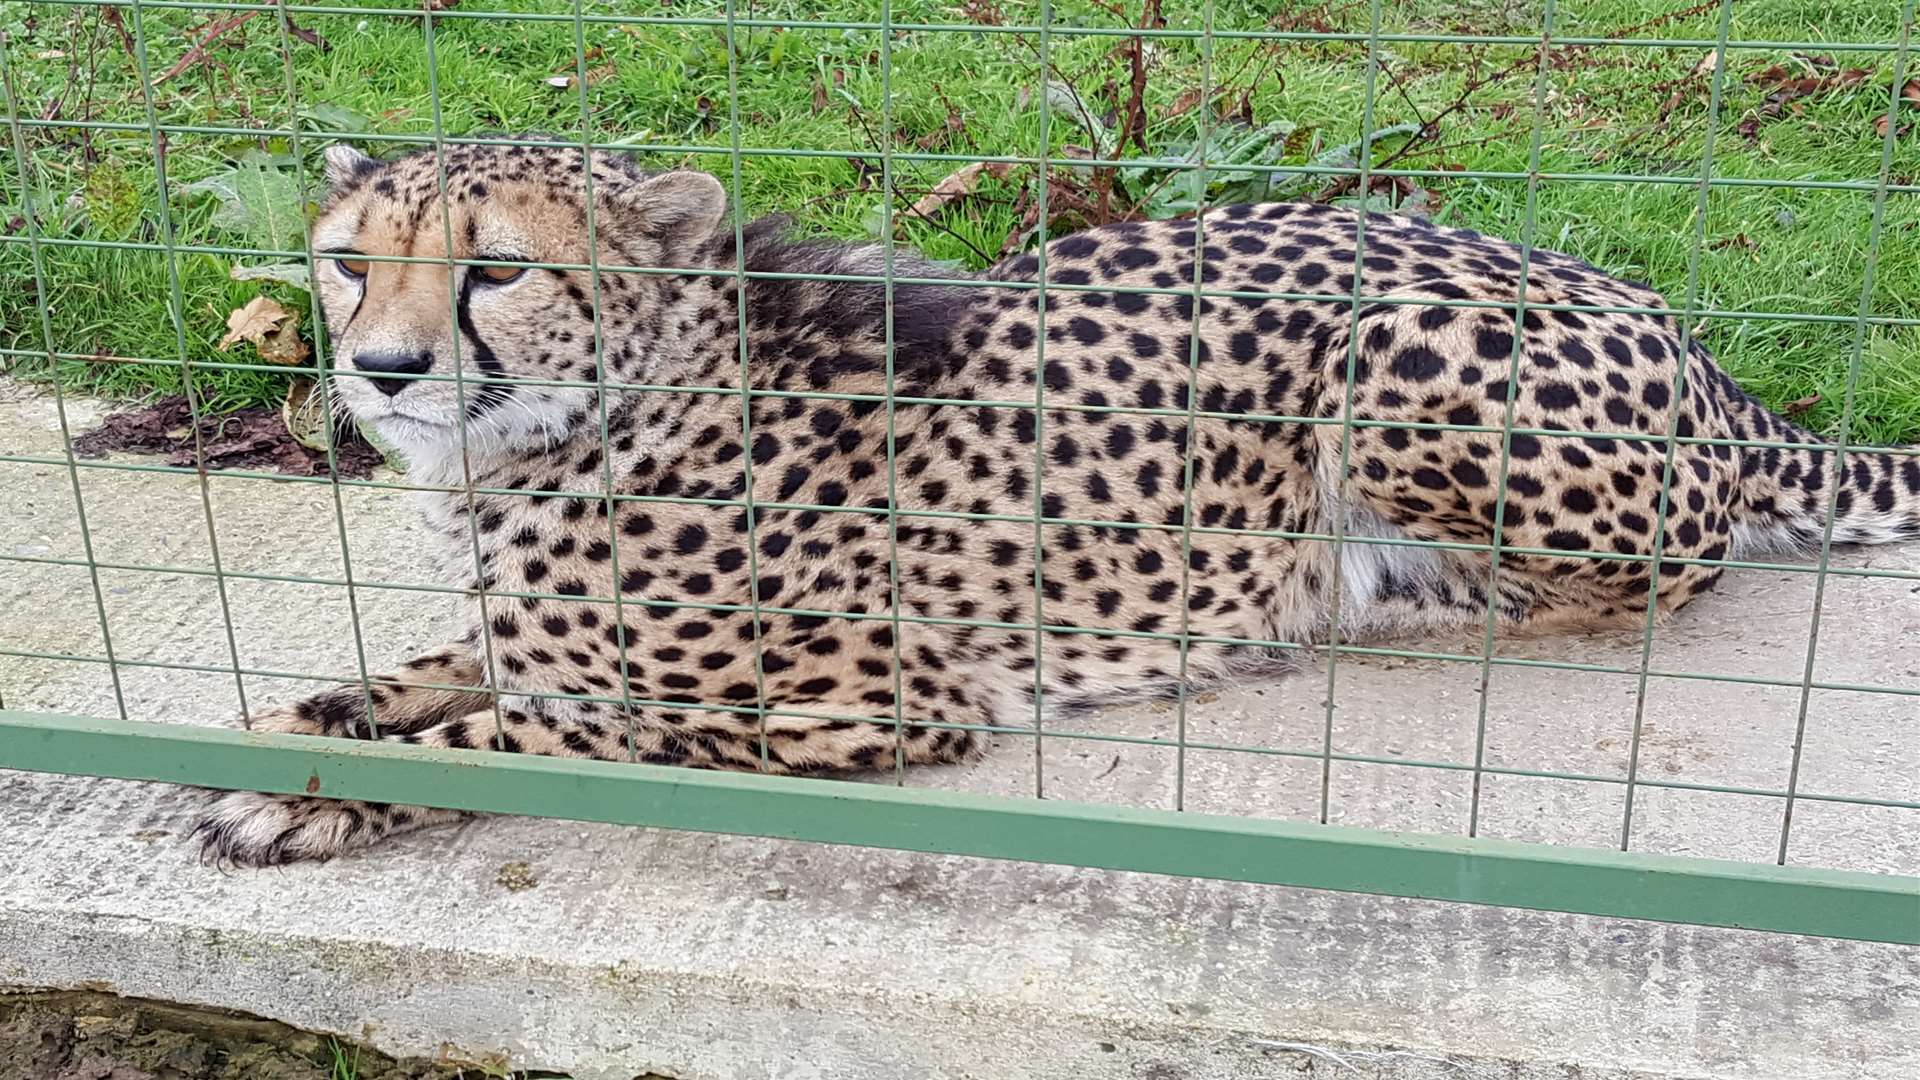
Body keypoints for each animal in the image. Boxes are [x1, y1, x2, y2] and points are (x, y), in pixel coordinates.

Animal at [194, 145, 1920, 864]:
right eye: (347, 260)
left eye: (495, 270)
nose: (381, 372)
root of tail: (1684, 330)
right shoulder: (530, 633)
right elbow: (412, 676)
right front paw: (288, 744)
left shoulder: (859, 701)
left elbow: (518, 736)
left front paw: (307, 792)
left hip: (1395, 359)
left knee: (1665, 567)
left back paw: (1369, 597)